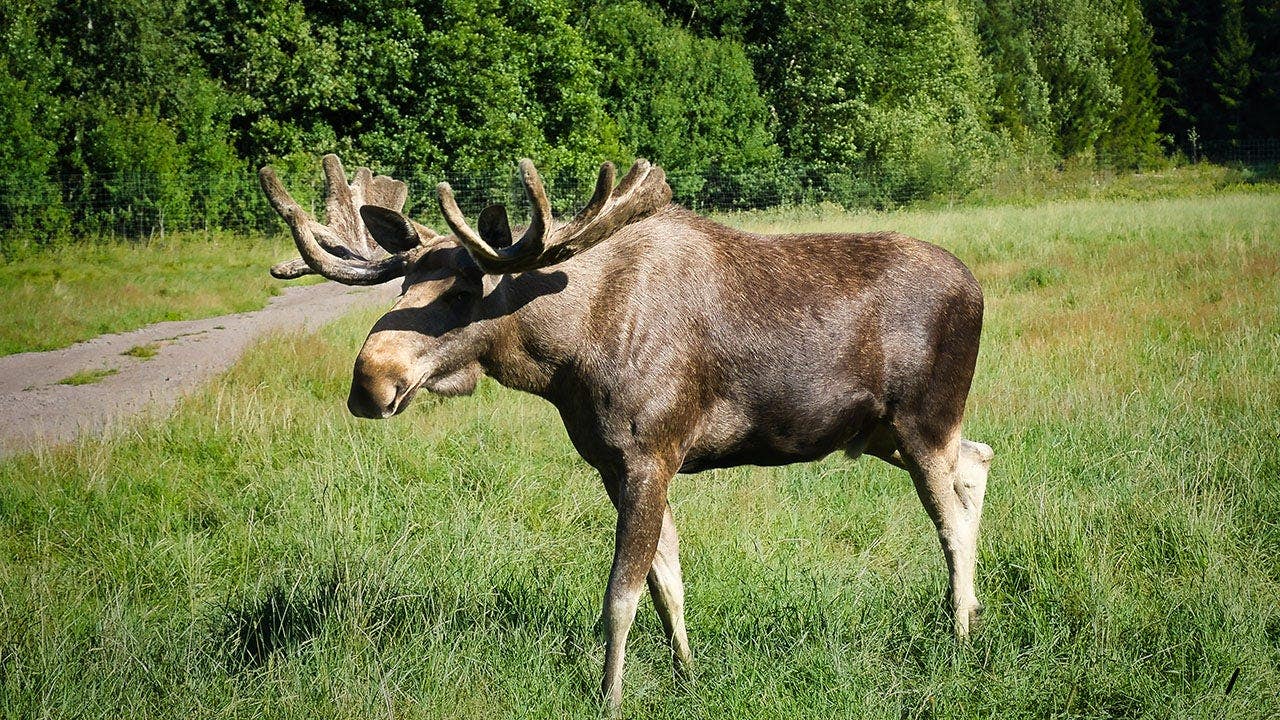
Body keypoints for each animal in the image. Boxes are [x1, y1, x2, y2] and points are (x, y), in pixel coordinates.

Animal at [259, 154, 994, 712]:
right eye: (405, 282)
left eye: (463, 293)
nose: (370, 380)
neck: (563, 360)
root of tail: (978, 288)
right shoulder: (613, 464)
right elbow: (667, 580)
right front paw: (686, 673)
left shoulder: (650, 454)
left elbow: (621, 594)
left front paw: (609, 695)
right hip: (883, 433)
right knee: (978, 459)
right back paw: (969, 612)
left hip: (923, 419)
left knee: (952, 522)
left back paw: (959, 638)